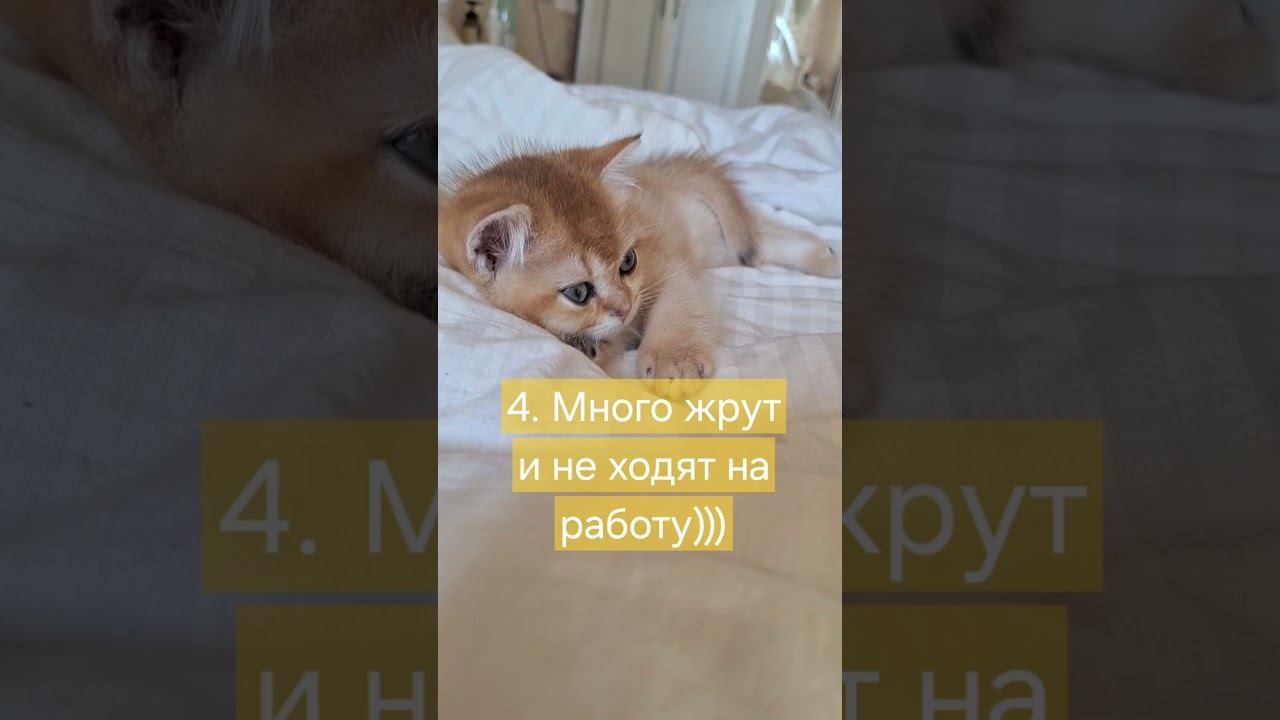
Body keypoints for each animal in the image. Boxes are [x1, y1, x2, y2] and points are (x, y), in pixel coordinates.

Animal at [438, 136, 841, 380]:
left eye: (628, 262)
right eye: (579, 293)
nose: (625, 307)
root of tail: (658, 174)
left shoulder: (669, 266)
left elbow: (677, 300)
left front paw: (673, 360)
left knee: (756, 238)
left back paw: (827, 261)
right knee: (760, 239)